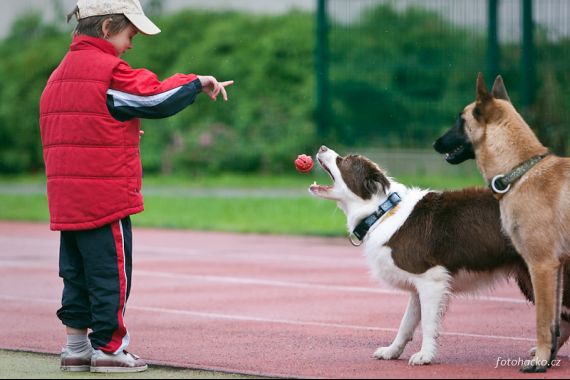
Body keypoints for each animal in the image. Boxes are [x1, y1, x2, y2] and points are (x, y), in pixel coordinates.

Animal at [308, 145, 564, 366]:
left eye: (344, 161)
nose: (321, 147)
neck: (382, 211)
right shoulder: (417, 285)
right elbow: (406, 323)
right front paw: (392, 351)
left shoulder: (432, 279)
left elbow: (429, 324)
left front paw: (425, 356)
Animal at [432, 73, 564, 372]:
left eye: (460, 119)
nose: (435, 142)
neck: (521, 171)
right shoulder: (554, 268)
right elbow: (555, 321)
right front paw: (547, 357)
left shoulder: (542, 266)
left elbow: (543, 321)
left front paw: (541, 360)